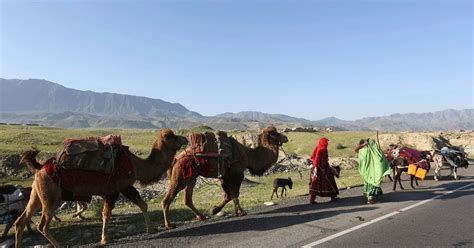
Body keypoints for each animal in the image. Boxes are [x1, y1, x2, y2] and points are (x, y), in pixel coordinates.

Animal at [13, 129, 187, 247]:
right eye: (172, 136)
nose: (185, 138)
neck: (136, 165)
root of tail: (41, 169)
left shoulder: (119, 188)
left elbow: (141, 205)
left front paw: (151, 230)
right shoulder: (119, 187)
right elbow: (107, 213)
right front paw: (104, 239)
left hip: (37, 194)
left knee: (21, 221)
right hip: (52, 197)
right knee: (42, 225)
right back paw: (59, 245)